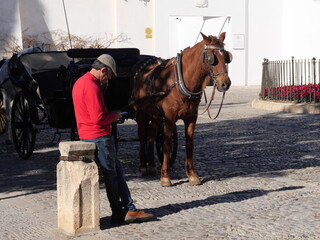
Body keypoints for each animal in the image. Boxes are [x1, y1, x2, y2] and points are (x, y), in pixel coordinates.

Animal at [131, 32, 231, 186]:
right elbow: (167, 144)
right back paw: (143, 166)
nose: (225, 83)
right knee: (143, 136)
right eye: (211, 57)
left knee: (151, 135)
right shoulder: (169, 118)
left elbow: (190, 144)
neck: (180, 82)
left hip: (156, 115)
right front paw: (165, 176)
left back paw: (152, 165)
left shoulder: (191, 117)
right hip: (141, 112)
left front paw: (192, 174)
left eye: (226, 56)